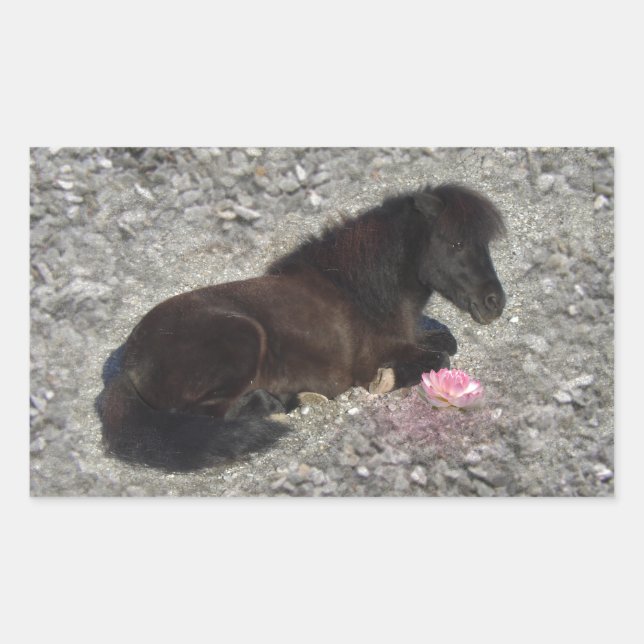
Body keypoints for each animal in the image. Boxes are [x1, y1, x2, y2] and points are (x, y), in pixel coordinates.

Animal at [98, 183, 506, 470]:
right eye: (456, 243)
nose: (495, 303)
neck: (357, 291)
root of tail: (127, 364)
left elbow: (446, 342)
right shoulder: (373, 359)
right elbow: (437, 356)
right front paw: (386, 380)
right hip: (243, 339)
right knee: (206, 415)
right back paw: (278, 403)